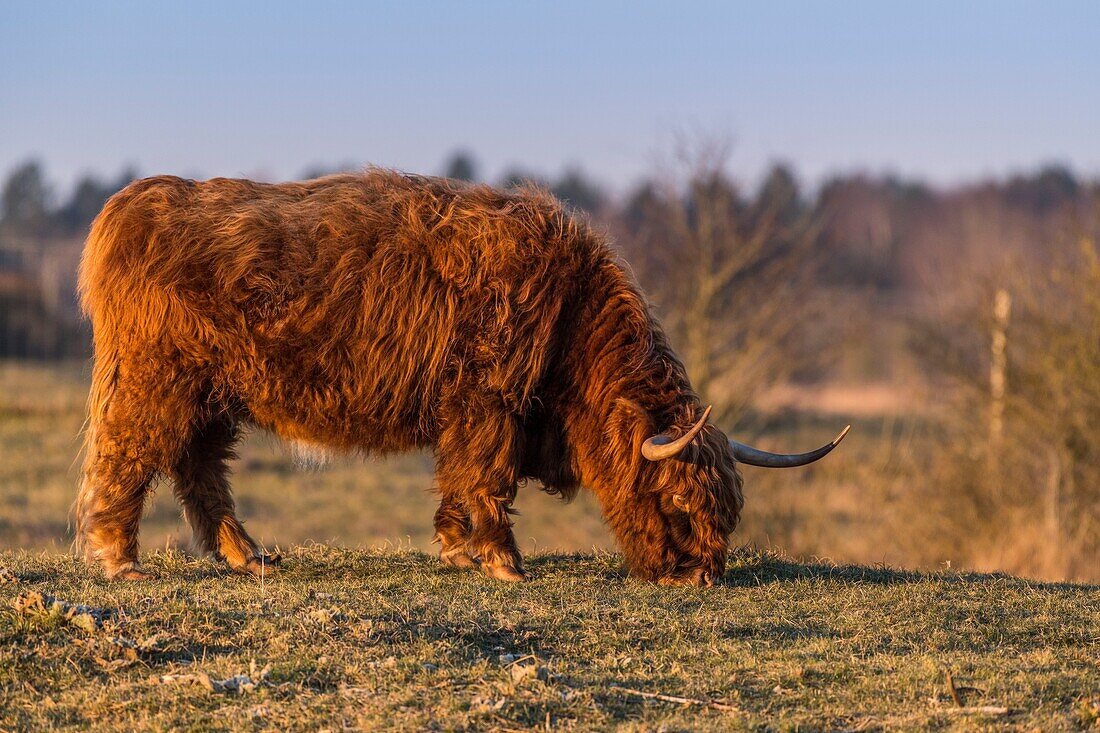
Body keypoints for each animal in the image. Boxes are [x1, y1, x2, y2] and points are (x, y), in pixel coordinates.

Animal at [75, 168, 849, 585]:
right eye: (682, 504)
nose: (698, 575)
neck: (571, 321)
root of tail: (135, 202)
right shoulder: (490, 396)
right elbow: (486, 474)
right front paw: (503, 560)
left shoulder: (471, 406)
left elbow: (459, 477)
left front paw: (455, 551)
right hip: (153, 379)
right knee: (125, 454)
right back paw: (119, 559)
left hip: (210, 394)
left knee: (199, 468)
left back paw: (247, 555)